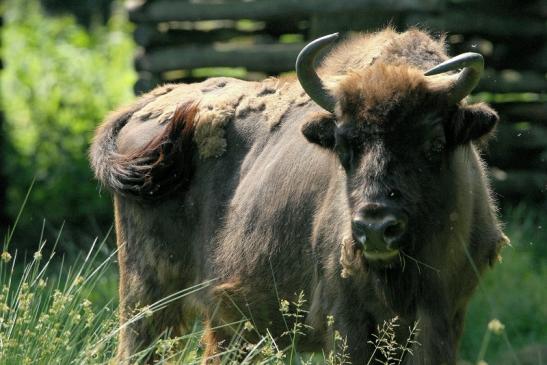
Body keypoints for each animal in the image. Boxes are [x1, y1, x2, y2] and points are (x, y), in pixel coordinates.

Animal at [90, 27, 510, 362]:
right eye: (343, 146)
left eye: (435, 144)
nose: (375, 229)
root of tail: (150, 103)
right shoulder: (347, 321)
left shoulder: (445, 315)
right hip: (148, 298)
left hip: (224, 319)